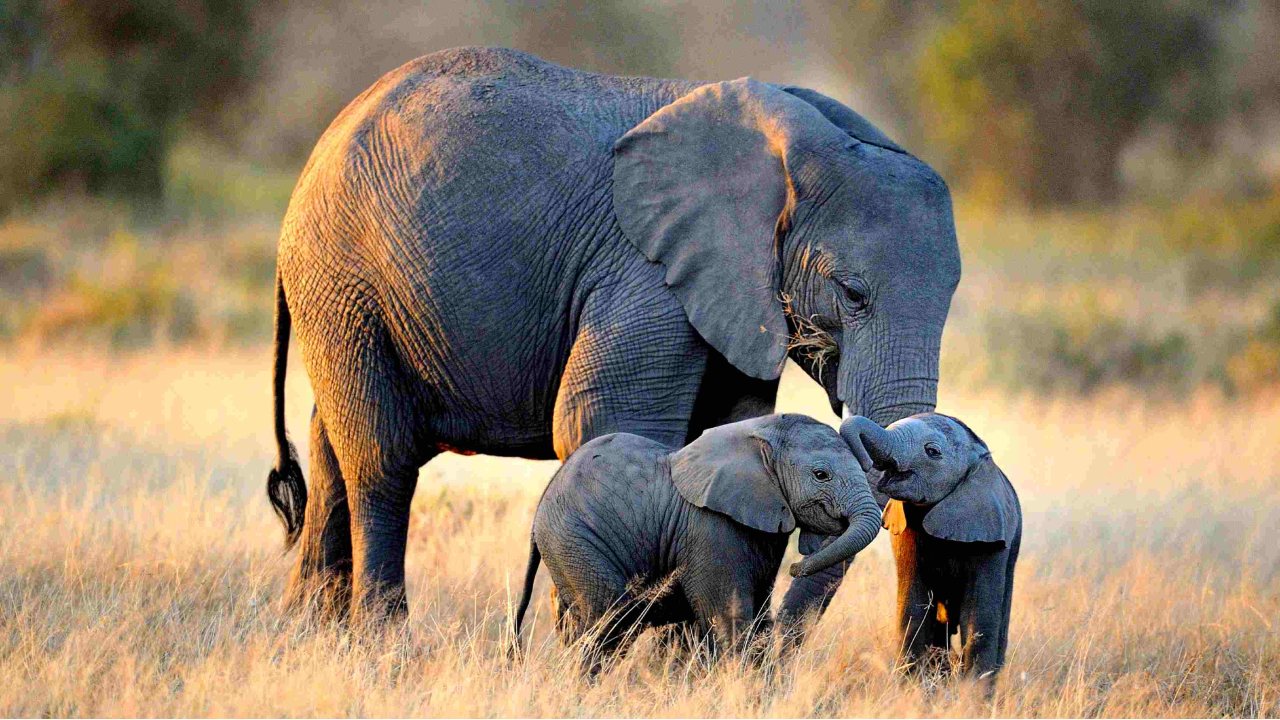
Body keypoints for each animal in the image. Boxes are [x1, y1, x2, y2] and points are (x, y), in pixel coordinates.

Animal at [264, 47, 957, 622]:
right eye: (853, 294)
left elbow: (728, 425)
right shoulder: (644, 271)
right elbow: (604, 420)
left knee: (331, 452)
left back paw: (311, 636)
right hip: (344, 280)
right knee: (380, 462)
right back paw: (383, 643)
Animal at [514, 412, 885, 666]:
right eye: (821, 475)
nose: (797, 567)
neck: (760, 435)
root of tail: (541, 506)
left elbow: (758, 616)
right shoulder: (710, 529)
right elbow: (729, 618)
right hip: (576, 541)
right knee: (608, 621)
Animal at [839, 412, 1018, 681]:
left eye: (932, 452)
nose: (866, 464)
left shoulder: (991, 535)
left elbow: (978, 619)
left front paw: (971, 693)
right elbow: (913, 609)